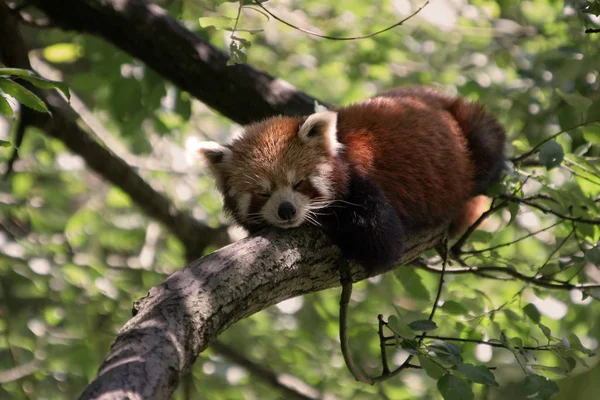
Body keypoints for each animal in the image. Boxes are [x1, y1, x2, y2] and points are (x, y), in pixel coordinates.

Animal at [198, 86, 506, 270]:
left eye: (298, 183)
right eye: (263, 193)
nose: (287, 211)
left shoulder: (363, 186)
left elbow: (380, 244)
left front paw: (325, 218)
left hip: (471, 129)